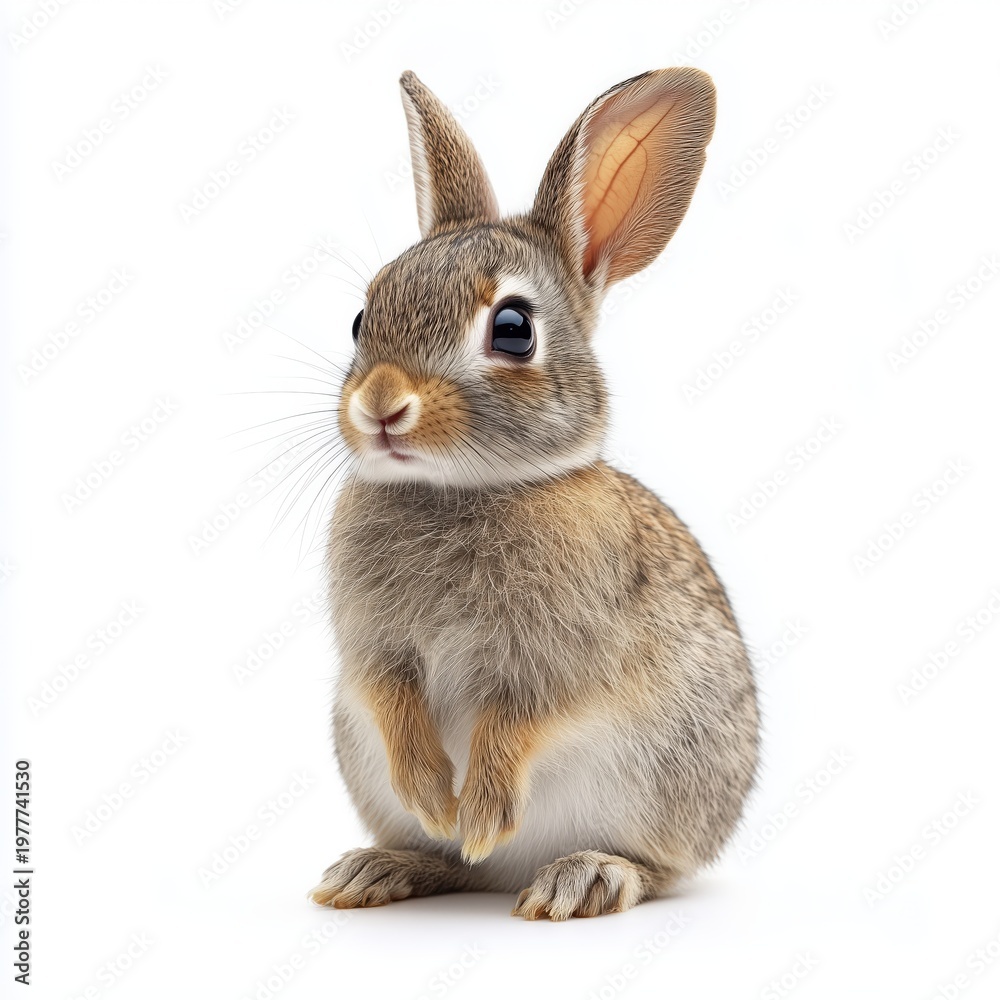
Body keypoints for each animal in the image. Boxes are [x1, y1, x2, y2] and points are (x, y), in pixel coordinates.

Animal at [308, 67, 759, 920]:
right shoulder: (375, 653)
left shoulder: (555, 661)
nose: (380, 404)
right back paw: (384, 867)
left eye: (513, 328)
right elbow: (393, 699)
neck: (464, 488)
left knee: (657, 868)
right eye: (359, 318)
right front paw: (437, 803)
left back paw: (579, 877)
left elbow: (516, 726)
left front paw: (481, 816)